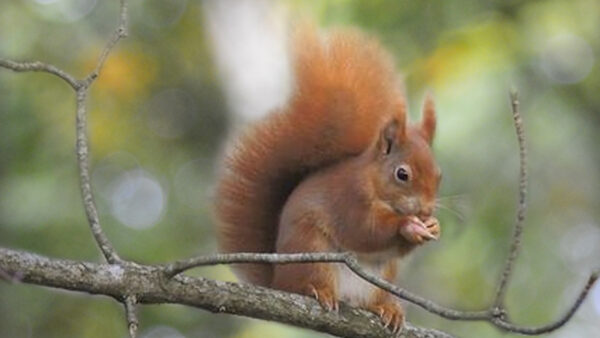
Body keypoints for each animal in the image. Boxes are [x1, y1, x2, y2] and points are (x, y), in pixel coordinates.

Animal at [216, 26, 440, 332]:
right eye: (402, 174)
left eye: (439, 175)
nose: (426, 210)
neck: (372, 182)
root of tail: (277, 280)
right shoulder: (348, 198)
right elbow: (364, 231)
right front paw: (409, 226)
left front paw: (433, 225)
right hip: (312, 252)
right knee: (305, 284)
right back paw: (317, 291)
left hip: (382, 277)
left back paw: (388, 309)